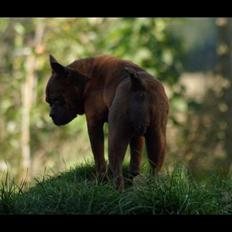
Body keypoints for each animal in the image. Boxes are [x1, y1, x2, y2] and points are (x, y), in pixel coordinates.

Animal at [45, 54, 169, 190]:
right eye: (49, 102)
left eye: (55, 100)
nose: (51, 114)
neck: (85, 79)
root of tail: (138, 85)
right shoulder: (137, 136)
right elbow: (135, 157)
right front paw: (132, 178)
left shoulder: (94, 125)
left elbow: (98, 157)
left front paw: (100, 180)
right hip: (157, 138)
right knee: (154, 169)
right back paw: (152, 187)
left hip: (115, 138)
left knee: (117, 171)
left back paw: (116, 190)